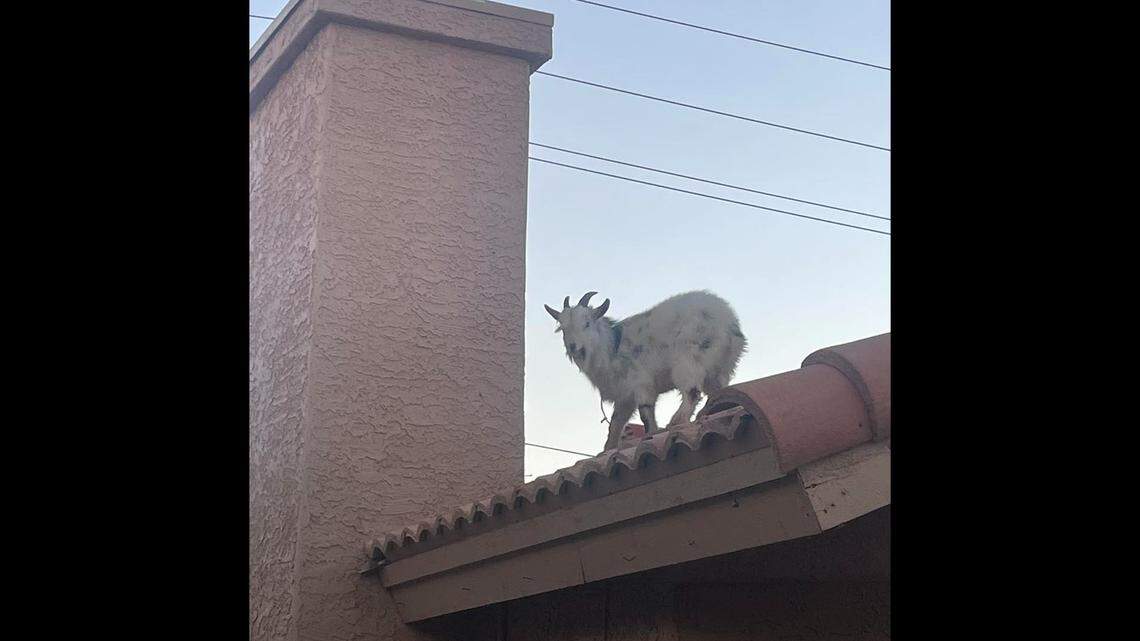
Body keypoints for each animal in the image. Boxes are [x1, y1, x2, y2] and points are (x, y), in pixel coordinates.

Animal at [544, 291, 747, 452]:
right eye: (562, 328)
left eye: (586, 323)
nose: (573, 347)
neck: (613, 347)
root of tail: (729, 323)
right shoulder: (624, 398)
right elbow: (615, 423)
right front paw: (608, 448)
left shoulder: (641, 385)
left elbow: (645, 414)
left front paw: (652, 433)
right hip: (719, 371)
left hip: (688, 360)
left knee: (691, 392)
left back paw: (676, 421)